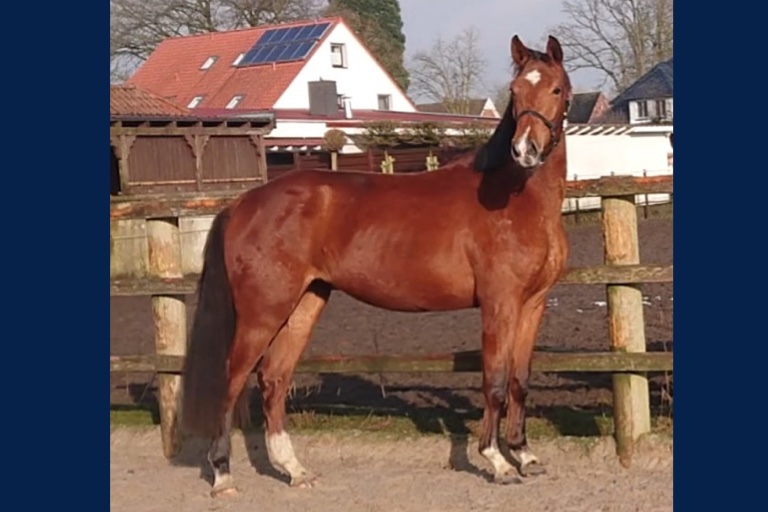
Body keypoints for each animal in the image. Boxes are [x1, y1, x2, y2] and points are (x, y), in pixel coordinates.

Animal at [181, 34, 573, 495]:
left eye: (556, 89)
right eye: (515, 92)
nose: (525, 150)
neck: (515, 197)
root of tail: (242, 203)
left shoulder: (533, 305)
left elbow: (519, 380)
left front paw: (525, 454)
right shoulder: (500, 304)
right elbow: (494, 381)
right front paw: (497, 461)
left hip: (305, 303)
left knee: (274, 379)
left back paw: (294, 470)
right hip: (263, 311)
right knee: (233, 380)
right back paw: (223, 474)